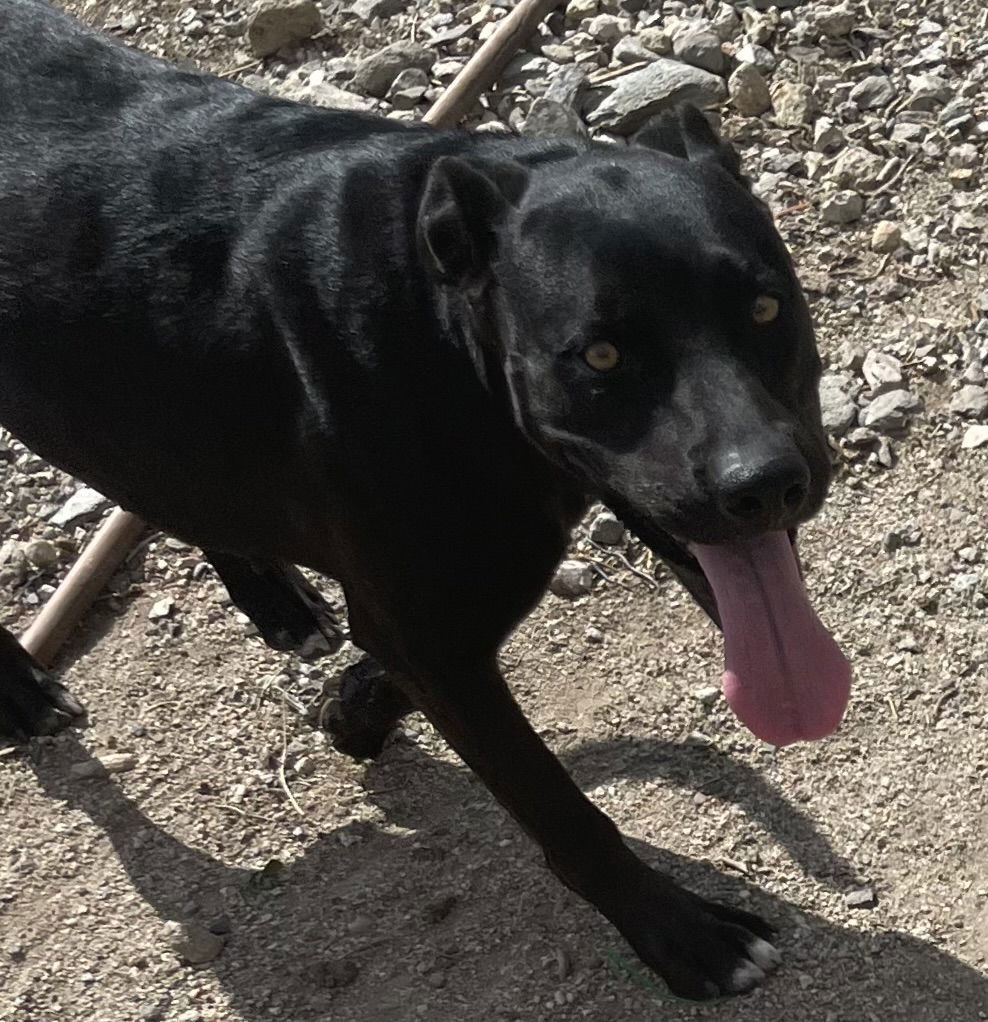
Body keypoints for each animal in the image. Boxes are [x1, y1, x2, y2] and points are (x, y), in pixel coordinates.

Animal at [0, 0, 850, 1001]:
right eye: (600, 357)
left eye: (764, 309)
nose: (764, 485)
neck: (446, 327)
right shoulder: (437, 633)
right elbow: (560, 809)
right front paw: (685, 936)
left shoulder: (439, 614)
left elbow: (388, 660)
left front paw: (351, 709)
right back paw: (20, 694)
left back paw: (277, 601)